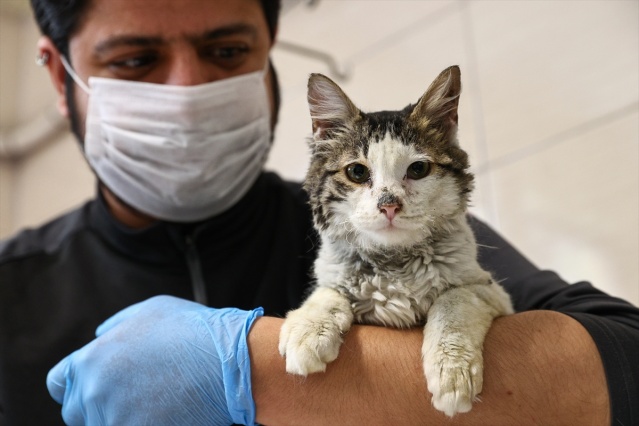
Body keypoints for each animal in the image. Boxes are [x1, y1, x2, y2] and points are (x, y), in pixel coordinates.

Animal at [280, 65, 516, 416]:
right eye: (357, 172)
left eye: (418, 169)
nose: (389, 205)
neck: (393, 263)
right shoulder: (334, 276)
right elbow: (328, 293)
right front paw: (308, 330)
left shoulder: (488, 291)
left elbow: (452, 301)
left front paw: (452, 372)